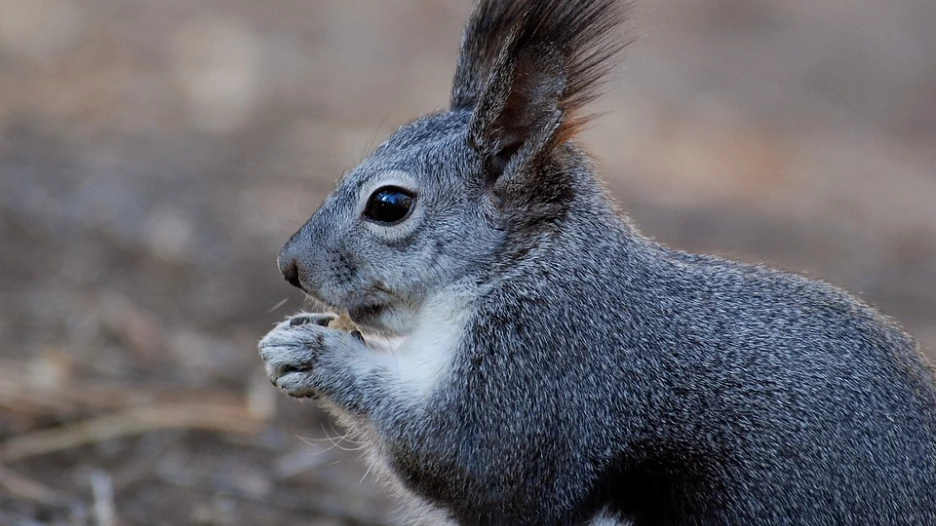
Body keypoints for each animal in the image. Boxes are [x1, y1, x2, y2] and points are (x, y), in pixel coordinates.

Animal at [259, 0, 936, 524]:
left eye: (390, 204)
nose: (289, 266)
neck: (521, 268)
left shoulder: (549, 371)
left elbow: (472, 461)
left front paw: (319, 354)